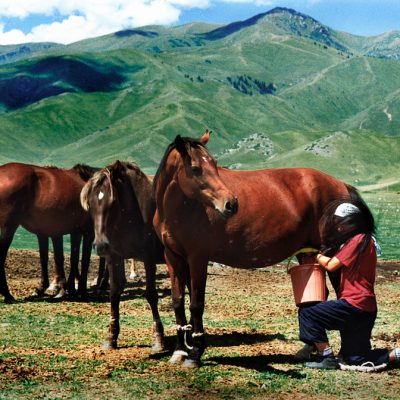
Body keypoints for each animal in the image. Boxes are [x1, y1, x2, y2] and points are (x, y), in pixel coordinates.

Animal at [0, 161, 97, 302]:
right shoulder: (83, 231)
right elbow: (81, 259)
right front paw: (78, 291)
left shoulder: (53, 232)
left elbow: (51, 257)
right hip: (9, 226)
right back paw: (7, 294)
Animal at [80, 161, 165, 352]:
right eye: (90, 203)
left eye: (113, 202)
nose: (100, 245)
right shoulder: (114, 258)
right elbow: (114, 293)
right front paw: (111, 336)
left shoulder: (149, 259)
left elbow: (151, 294)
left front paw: (158, 338)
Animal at [152, 130, 362, 368]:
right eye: (196, 168)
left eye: (214, 164)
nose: (231, 203)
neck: (181, 209)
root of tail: (340, 185)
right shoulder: (173, 257)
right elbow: (178, 300)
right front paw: (179, 351)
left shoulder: (197, 258)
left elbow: (196, 303)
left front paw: (195, 353)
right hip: (307, 253)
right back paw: (310, 349)